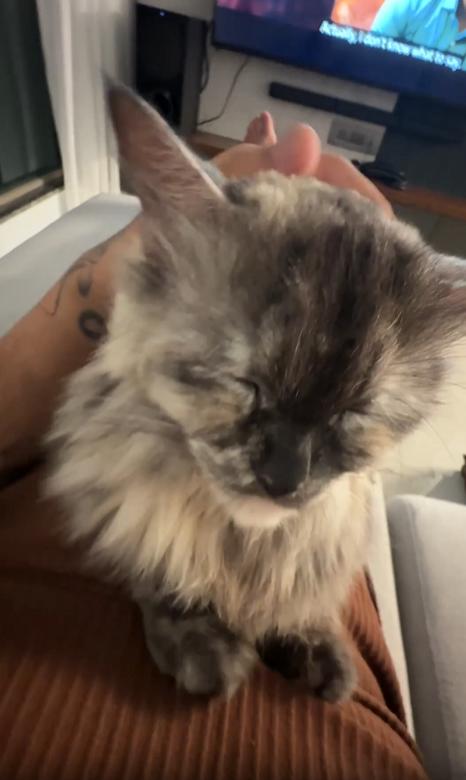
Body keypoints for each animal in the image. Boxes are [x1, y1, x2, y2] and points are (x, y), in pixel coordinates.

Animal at [46, 86, 466, 701]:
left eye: (353, 413)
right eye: (247, 386)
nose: (283, 479)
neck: (242, 549)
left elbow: (306, 597)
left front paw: (314, 646)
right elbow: (159, 566)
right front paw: (204, 647)